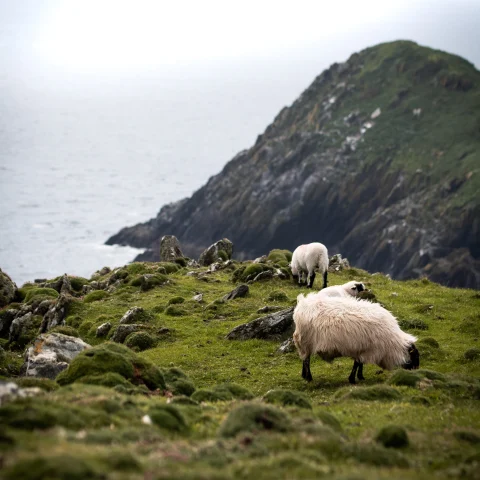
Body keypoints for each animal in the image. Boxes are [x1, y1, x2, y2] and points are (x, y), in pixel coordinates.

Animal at [290, 294, 418, 384]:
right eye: (414, 355)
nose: (416, 371)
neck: (392, 342)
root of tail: (302, 304)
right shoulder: (366, 349)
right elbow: (357, 364)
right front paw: (353, 379)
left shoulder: (363, 349)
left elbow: (359, 364)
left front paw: (360, 376)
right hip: (305, 341)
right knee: (306, 360)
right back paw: (309, 377)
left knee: (304, 359)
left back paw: (304, 375)